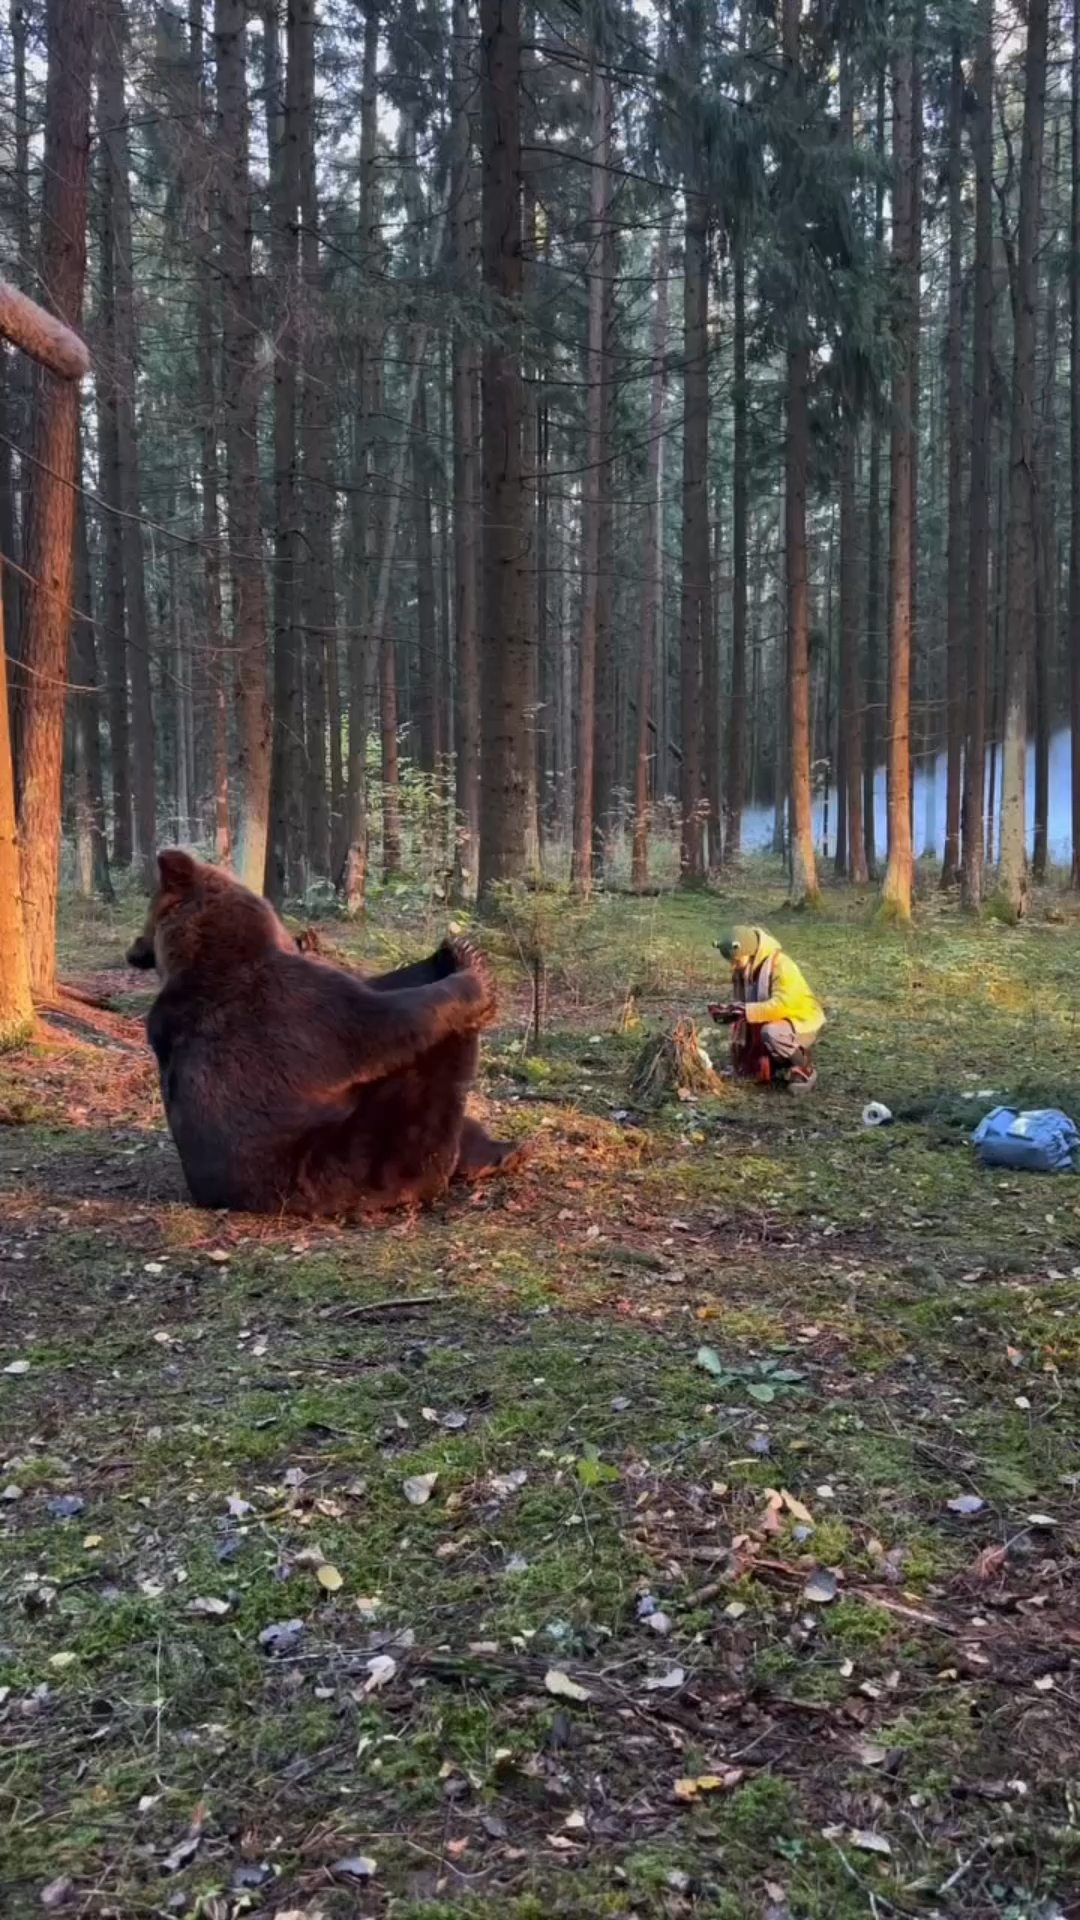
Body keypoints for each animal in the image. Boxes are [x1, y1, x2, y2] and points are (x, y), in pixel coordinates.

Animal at [125, 852, 522, 1213]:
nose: (133, 950)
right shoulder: (302, 1010)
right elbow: (383, 1023)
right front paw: (472, 970)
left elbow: (379, 982)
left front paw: (450, 949)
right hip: (351, 1159)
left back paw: (506, 1150)